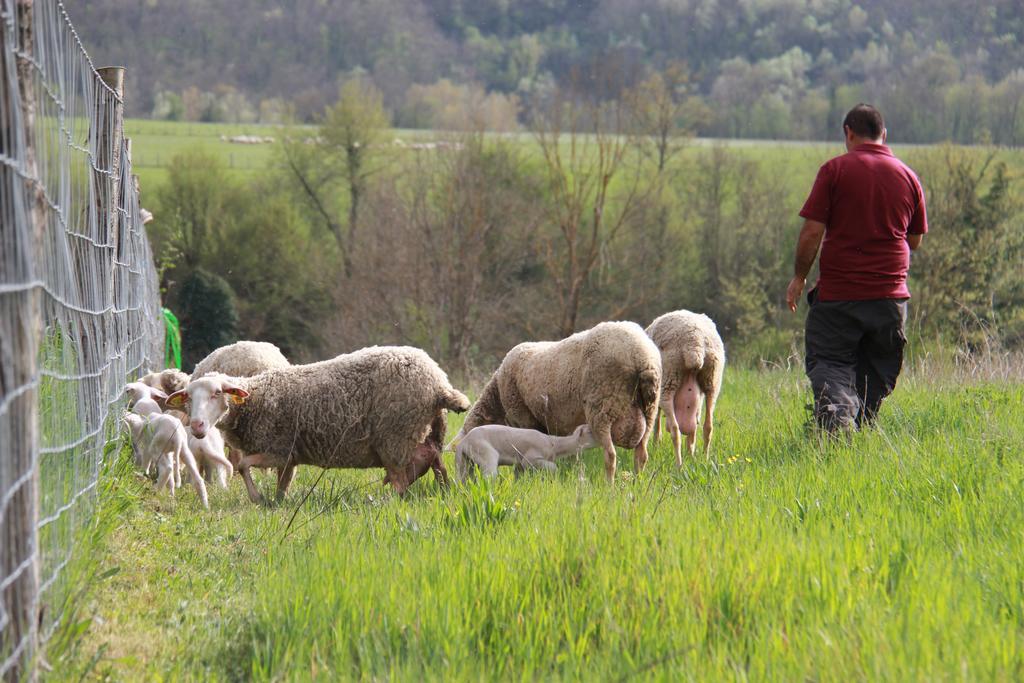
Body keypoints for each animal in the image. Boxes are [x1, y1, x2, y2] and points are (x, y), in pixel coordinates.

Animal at [168, 348, 471, 501]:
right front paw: (277, 503)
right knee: (435, 461)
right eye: (188, 398)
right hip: (427, 431)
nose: (197, 426)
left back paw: (390, 501)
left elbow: (242, 465)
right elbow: (282, 483)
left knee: (401, 478)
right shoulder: (290, 454)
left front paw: (258, 498)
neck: (257, 399)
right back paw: (444, 493)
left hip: (395, 437)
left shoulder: (278, 449)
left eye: (217, 393)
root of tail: (440, 384)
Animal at [458, 421, 598, 481]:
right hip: (486, 453)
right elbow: (554, 467)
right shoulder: (530, 459)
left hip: (466, 462)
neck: (555, 444)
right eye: (590, 431)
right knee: (488, 476)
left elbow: (518, 477)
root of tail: (463, 442)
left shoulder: (520, 464)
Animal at [643, 309, 724, 464]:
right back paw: (703, 459)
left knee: (675, 429)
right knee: (707, 426)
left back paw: (679, 464)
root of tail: (695, 343)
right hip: (712, 381)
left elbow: (657, 423)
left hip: (668, 381)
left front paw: (656, 445)